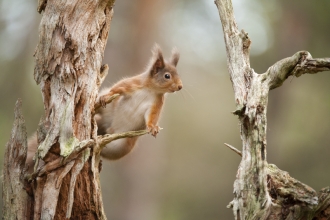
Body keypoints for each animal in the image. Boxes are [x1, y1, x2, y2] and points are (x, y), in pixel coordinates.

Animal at [26, 43, 183, 170]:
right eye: (167, 76)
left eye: (178, 74)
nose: (180, 87)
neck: (151, 90)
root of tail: (109, 128)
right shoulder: (132, 84)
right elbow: (118, 88)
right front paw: (106, 96)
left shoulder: (156, 104)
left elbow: (152, 117)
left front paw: (153, 127)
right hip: (106, 113)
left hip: (121, 147)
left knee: (105, 150)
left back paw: (96, 145)